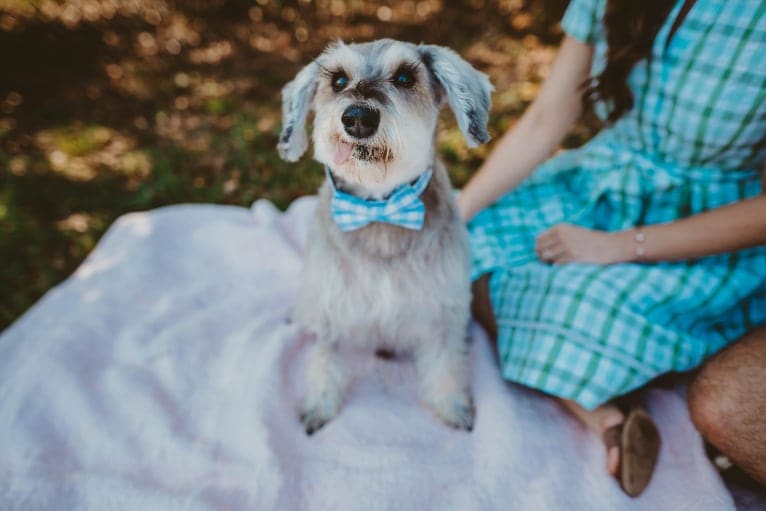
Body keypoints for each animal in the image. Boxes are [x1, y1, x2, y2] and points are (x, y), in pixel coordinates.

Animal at [280, 38, 496, 434]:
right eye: (337, 80)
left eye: (405, 77)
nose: (358, 118)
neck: (380, 207)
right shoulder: (331, 307)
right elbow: (325, 359)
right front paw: (320, 404)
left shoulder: (443, 310)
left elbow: (446, 362)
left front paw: (453, 406)